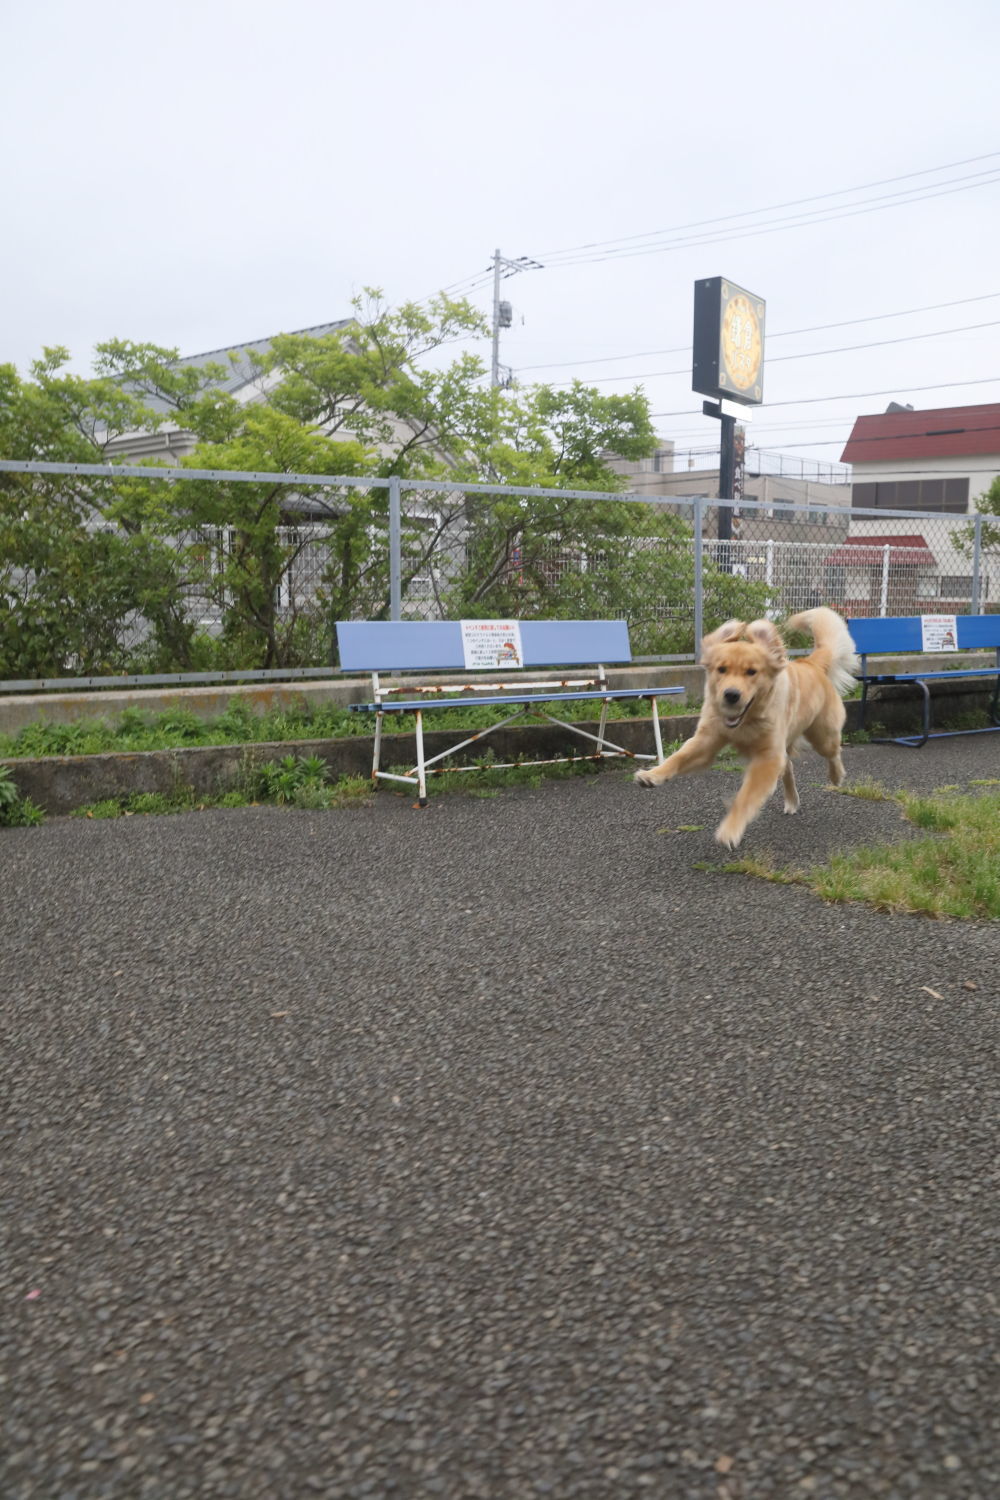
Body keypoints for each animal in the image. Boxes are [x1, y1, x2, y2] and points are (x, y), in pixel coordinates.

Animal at [632, 606, 863, 846]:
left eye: (752, 672)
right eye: (721, 669)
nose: (731, 695)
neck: (746, 721)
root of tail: (811, 663)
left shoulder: (768, 757)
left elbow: (745, 797)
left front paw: (730, 829)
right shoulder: (706, 741)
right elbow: (677, 758)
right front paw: (652, 775)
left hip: (822, 735)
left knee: (834, 753)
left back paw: (836, 777)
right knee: (789, 765)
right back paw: (791, 801)